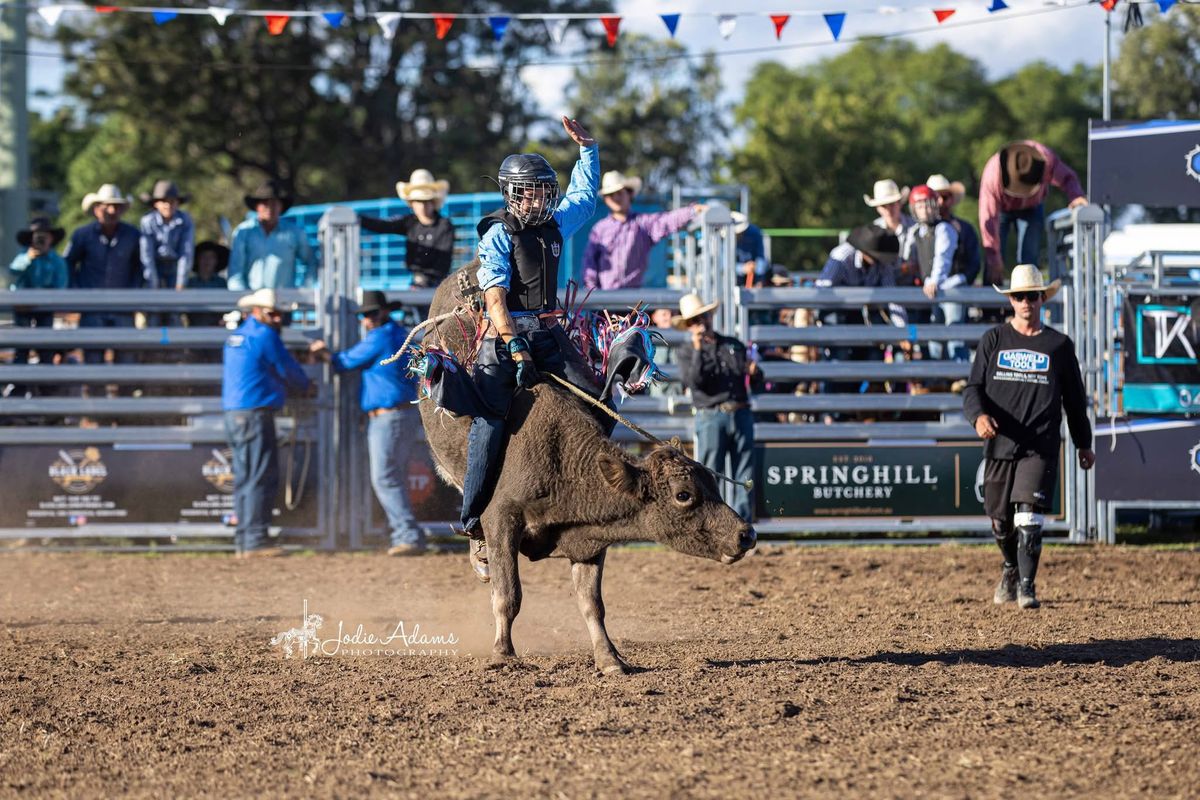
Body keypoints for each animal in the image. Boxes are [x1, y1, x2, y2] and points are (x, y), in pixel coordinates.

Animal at [410, 267, 748, 676]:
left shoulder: (591, 540)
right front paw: (503, 653)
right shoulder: (502, 518)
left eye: (713, 483)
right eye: (684, 495)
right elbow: (509, 595)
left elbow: (592, 604)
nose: (746, 534)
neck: (562, 461)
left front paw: (609, 658)